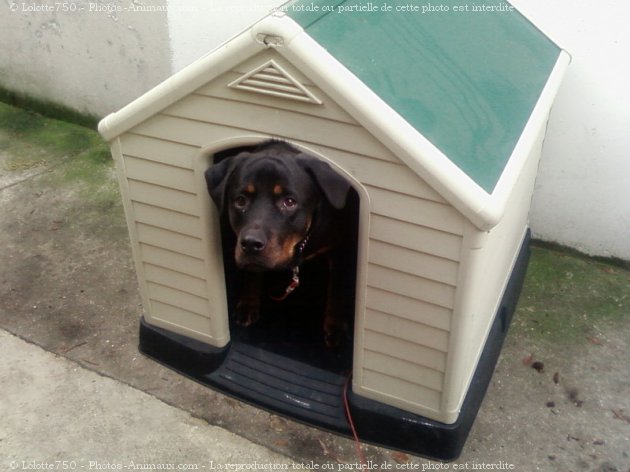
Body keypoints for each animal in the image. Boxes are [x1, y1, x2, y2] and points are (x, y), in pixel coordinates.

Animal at [206, 140, 356, 346]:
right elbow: (252, 274)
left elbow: (337, 288)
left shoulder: (339, 248)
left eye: (290, 202)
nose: (251, 244)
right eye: (240, 200)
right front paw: (248, 302)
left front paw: (336, 326)